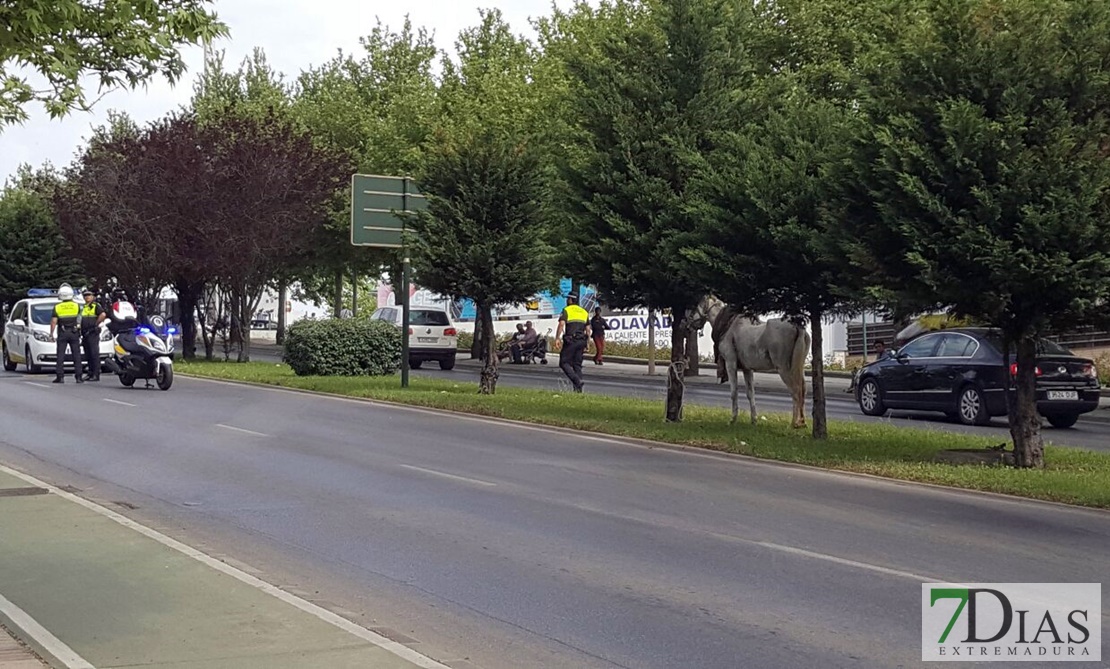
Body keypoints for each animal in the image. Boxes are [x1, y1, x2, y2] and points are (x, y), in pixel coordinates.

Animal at [688, 297, 812, 428]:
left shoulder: (730, 363)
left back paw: (794, 423)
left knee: (795, 391)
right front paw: (754, 419)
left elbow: (734, 392)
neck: (728, 326)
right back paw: (802, 422)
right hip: (798, 367)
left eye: (695, 306)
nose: (687, 324)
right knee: (803, 390)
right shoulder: (747, 368)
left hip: (784, 368)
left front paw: (733, 419)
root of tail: (798, 328)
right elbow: (750, 393)